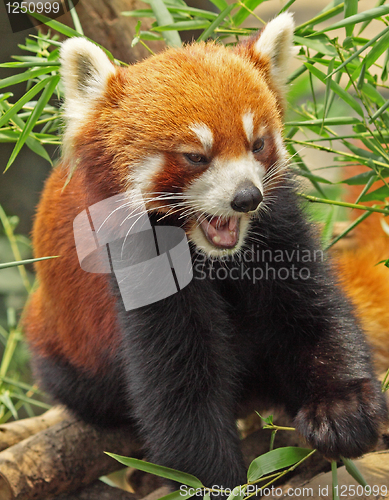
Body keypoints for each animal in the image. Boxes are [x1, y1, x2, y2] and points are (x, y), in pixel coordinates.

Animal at [23, 12, 384, 492]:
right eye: (196, 156)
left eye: (257, 144)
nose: (246, 198)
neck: (210, 254)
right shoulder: (138, 263)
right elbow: (179, 381)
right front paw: (215, 481)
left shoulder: (276, 228)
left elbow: (311, 312)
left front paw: (341, 411)